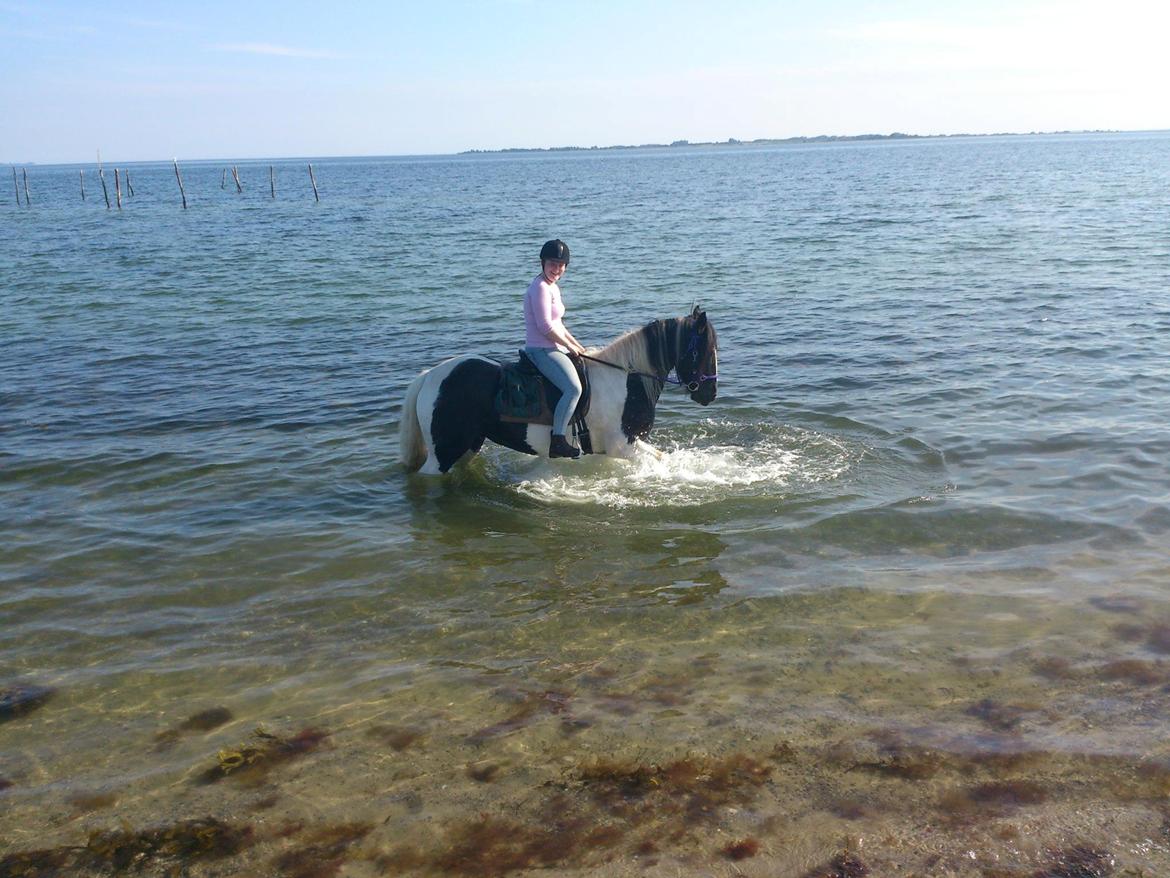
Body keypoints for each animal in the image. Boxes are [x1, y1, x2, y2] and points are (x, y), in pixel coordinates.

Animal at [397, 306, 716, 477]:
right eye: (703, 349)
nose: (709, 393)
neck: (624, 380)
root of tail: (430, 377)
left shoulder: (630, 443)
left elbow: (660, 457)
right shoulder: (622, 447)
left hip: (469, 445)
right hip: (443, 453)